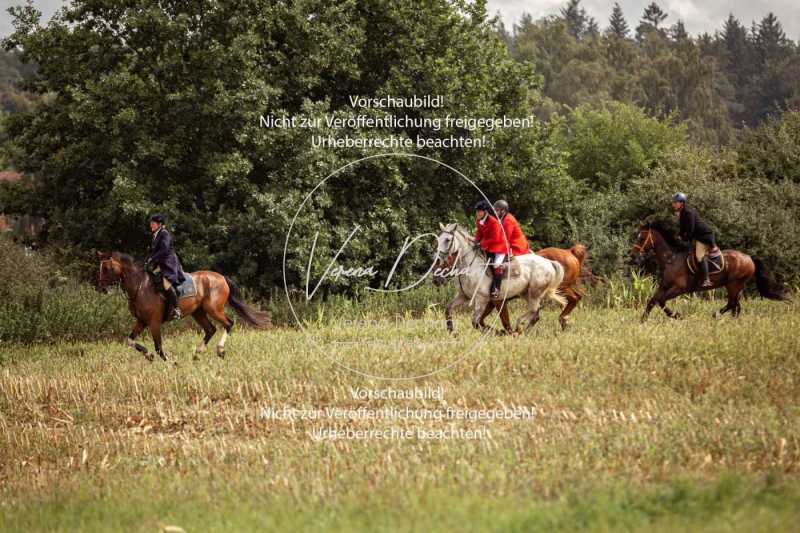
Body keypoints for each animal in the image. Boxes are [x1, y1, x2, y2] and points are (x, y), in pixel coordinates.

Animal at [97, 250, 270, 362]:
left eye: (108, 268)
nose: (102, 289)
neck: (140, 287)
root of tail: (221, 277)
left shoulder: (154, 322)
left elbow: (158, 346)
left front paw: (170, 361)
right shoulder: (141, 321)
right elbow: (130, 340)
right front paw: (148, 355)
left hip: (213, 309)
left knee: (228, 323)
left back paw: (220, 350)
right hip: (198, 312)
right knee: (210, 329)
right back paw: (197, 354)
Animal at [628, 220, 784, 320]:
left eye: (641, 238)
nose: (632, 254)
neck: (670, 259)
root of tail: (749, 258)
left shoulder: (679, 288)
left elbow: (661, 301)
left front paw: (677, 316)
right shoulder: (663, 287)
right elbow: (652, 301)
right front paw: (642, 320)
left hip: (734, 285)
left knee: (732, 304)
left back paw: (716, 315)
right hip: (735, 286)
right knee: (735, 305)